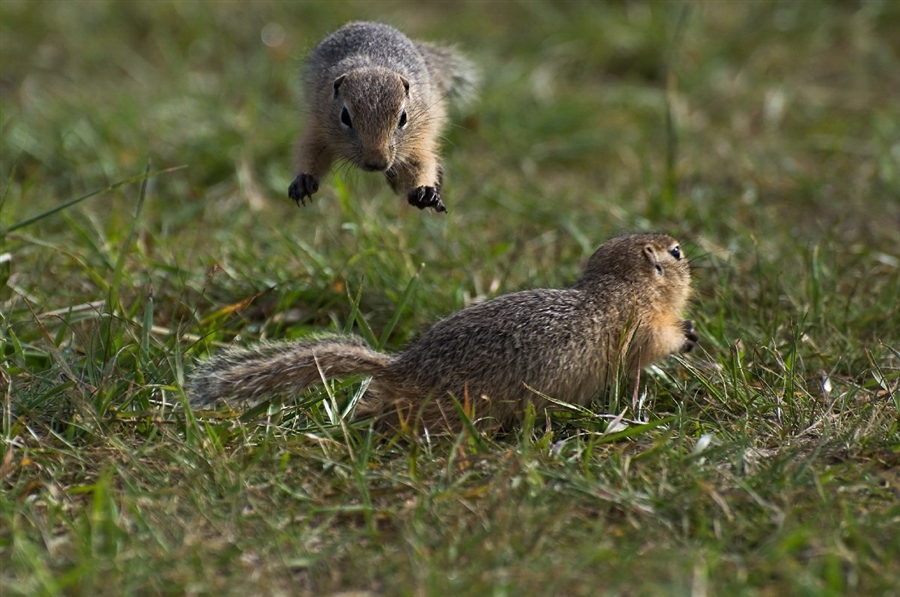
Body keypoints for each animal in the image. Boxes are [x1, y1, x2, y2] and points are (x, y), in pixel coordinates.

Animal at [188, 233, 696, 434]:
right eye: (675, 252)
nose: (686, 251)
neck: (617, 286)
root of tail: (401, 367)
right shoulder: (637, 324)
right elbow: (654, 344)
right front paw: (686, 331)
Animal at [292, 21, 482, 212]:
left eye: (404, 117)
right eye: (345, 117)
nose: (376, 162)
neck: (374, 66)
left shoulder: (419, 134)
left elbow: (421, 163)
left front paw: (425, 192)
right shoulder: (318, 124)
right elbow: (310, 152)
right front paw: (303, 181)